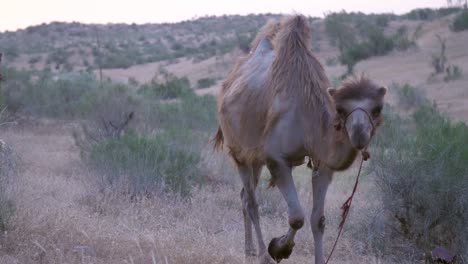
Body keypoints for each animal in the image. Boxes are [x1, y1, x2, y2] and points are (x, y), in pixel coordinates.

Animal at [213, 15, 388, 262]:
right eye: (340, 109)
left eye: (377, 109)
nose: (359, 133)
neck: (307, 115)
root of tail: (227, 85)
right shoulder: (276, 158)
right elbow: (296, 217)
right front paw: (278, 248)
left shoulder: (322, 164)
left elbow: (318, 220)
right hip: (239, 151)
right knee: (252, 200)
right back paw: (261, 255)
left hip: (255, 157)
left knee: (244, 196)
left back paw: (248, 250)